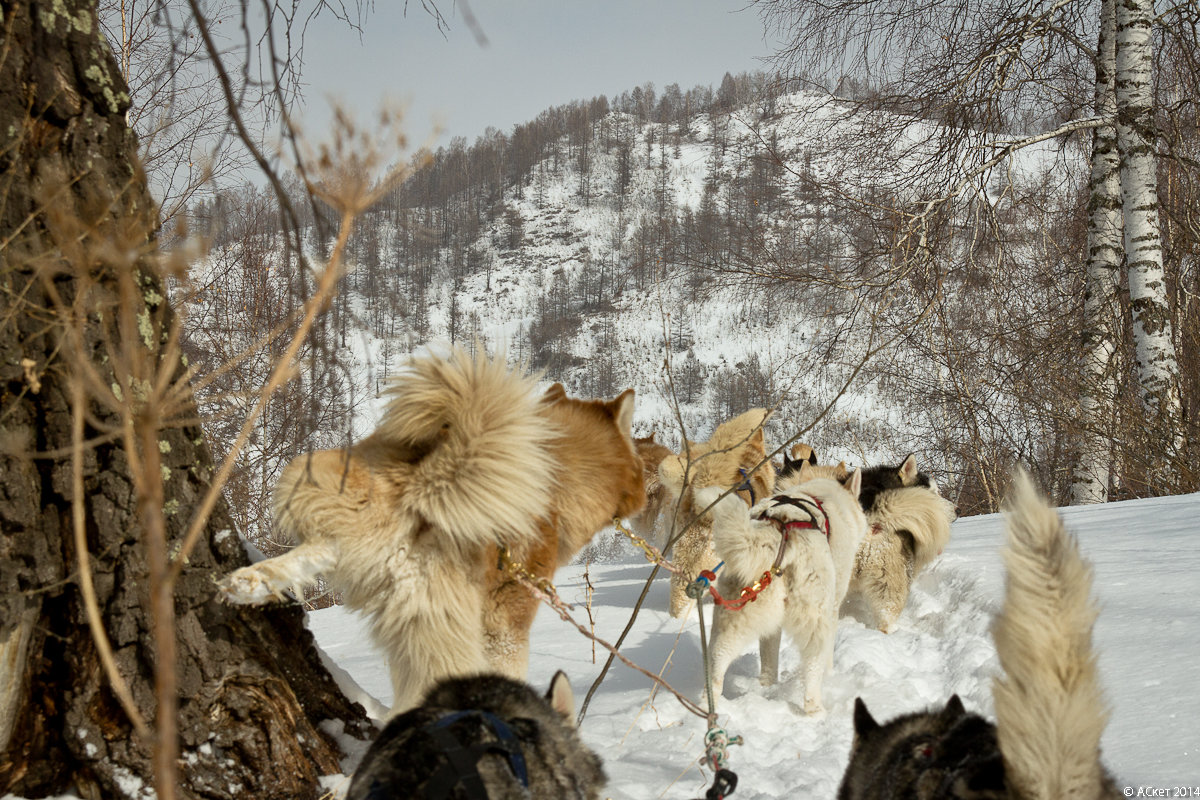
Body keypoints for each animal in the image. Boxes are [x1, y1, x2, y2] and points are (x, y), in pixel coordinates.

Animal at [216, 347, 648, 714]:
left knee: (303, 555)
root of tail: (423, 482)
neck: (558, 474)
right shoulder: (506, 629)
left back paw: (247, 584)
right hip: (436, 634)